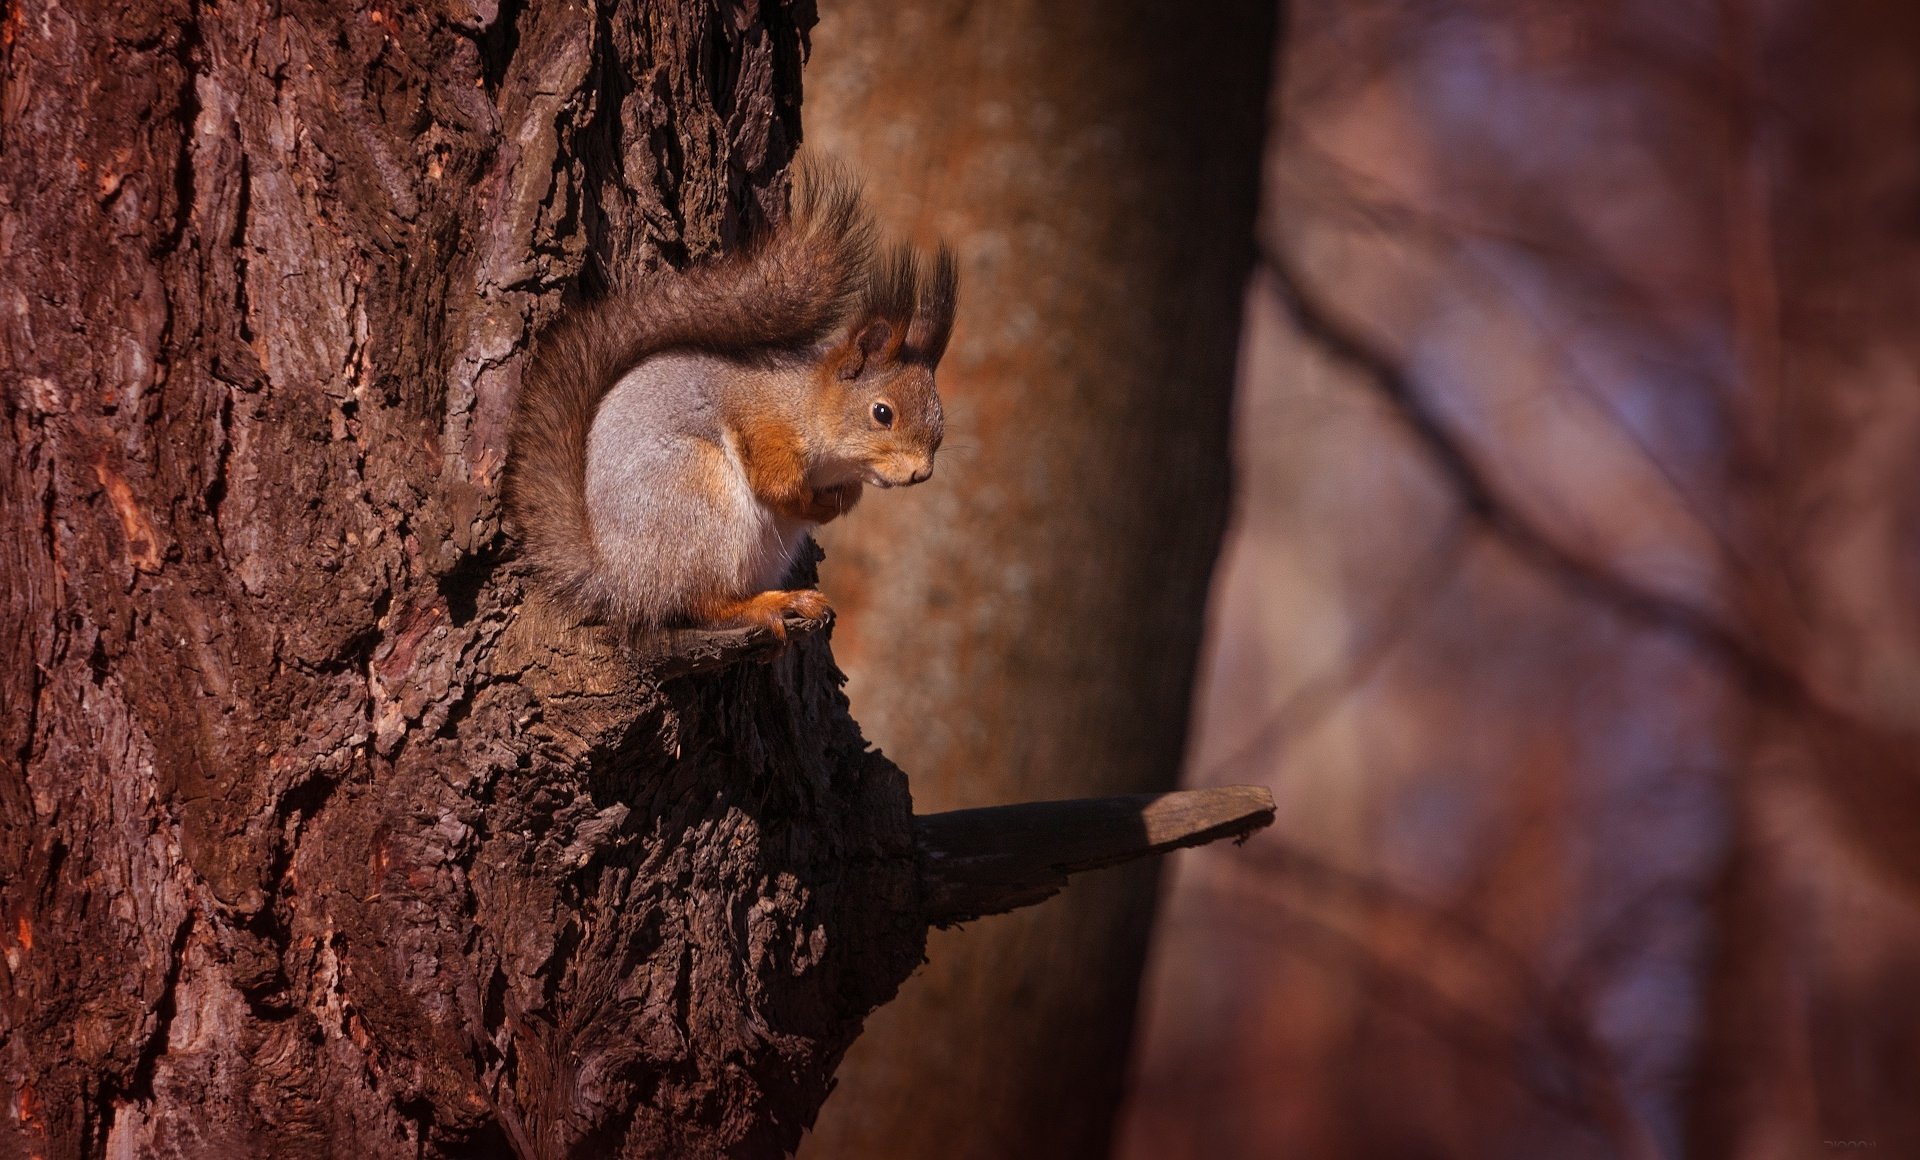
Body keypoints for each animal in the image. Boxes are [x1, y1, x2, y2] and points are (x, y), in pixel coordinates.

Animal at [499, 169, 956, 645]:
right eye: (882, 413)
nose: (922, 473)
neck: (805, 403)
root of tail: (621, 580)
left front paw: (842, 501)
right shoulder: (762, 421)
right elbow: (776, 484)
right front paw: (812, 503)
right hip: (698, 500)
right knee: (699, 603)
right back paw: (765, 606)